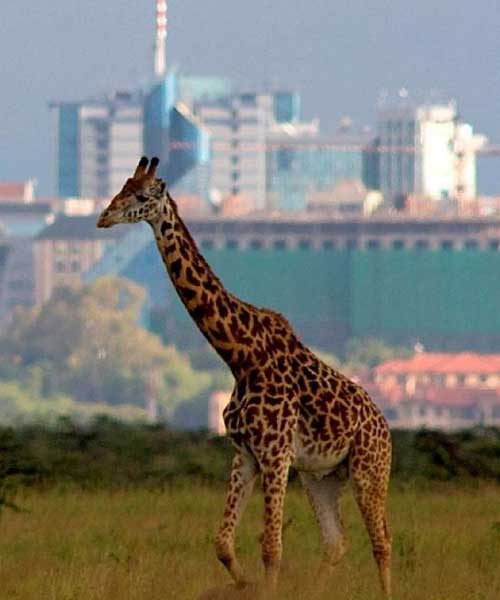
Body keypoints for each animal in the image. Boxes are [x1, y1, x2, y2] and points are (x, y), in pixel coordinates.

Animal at [97, 157, 392, 596]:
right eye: (122, 186)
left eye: (142, 195)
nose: (104, 217)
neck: (240, 356)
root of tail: (385, 428)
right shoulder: (245, 454)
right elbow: (223, 543)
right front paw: (244, 584)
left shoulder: (275, 453)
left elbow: (271, 547)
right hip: (320, 476)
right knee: (336, 542)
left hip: (369, 469)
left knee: (382, 542)